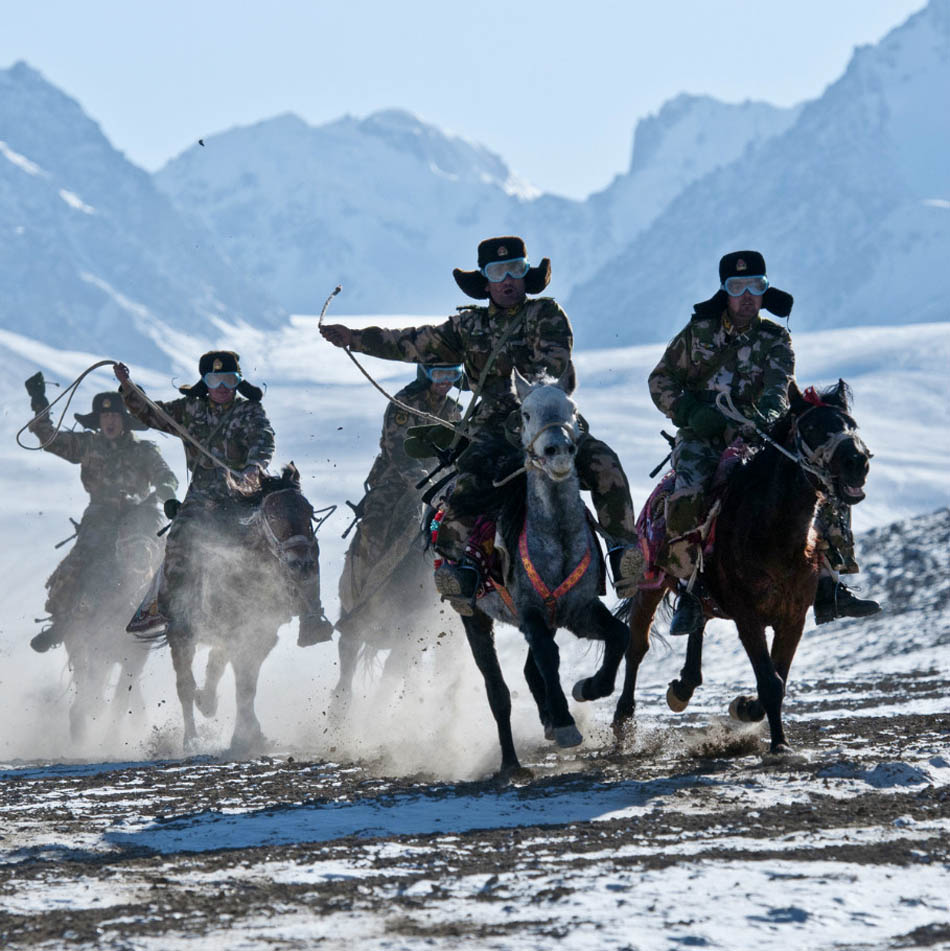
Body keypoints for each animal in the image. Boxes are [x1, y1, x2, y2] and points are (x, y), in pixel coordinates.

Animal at [456, 368, 632, 776]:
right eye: (526, 413)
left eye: (573, 409)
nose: (558, 451)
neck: (557, 539)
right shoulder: (530, 612)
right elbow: (547, 657)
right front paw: (566, 725)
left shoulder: (579, 610)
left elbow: (620, 635)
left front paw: (587, 688)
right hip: (474, 617)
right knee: (498, 692)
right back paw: (511, 764)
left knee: (529, 670)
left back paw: (547, 719)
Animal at [612, 380, 872, 752]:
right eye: (811, 428)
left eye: (851, 424)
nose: (857, 461)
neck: (773, 534)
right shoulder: (748, 619)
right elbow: (771, 682)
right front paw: (778, 745)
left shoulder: (793, 619)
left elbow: (777, 678)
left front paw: (747, 708)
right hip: (650, 585)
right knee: (637, 647)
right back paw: (623, 722)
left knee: (698, 619)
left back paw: (684, 685)